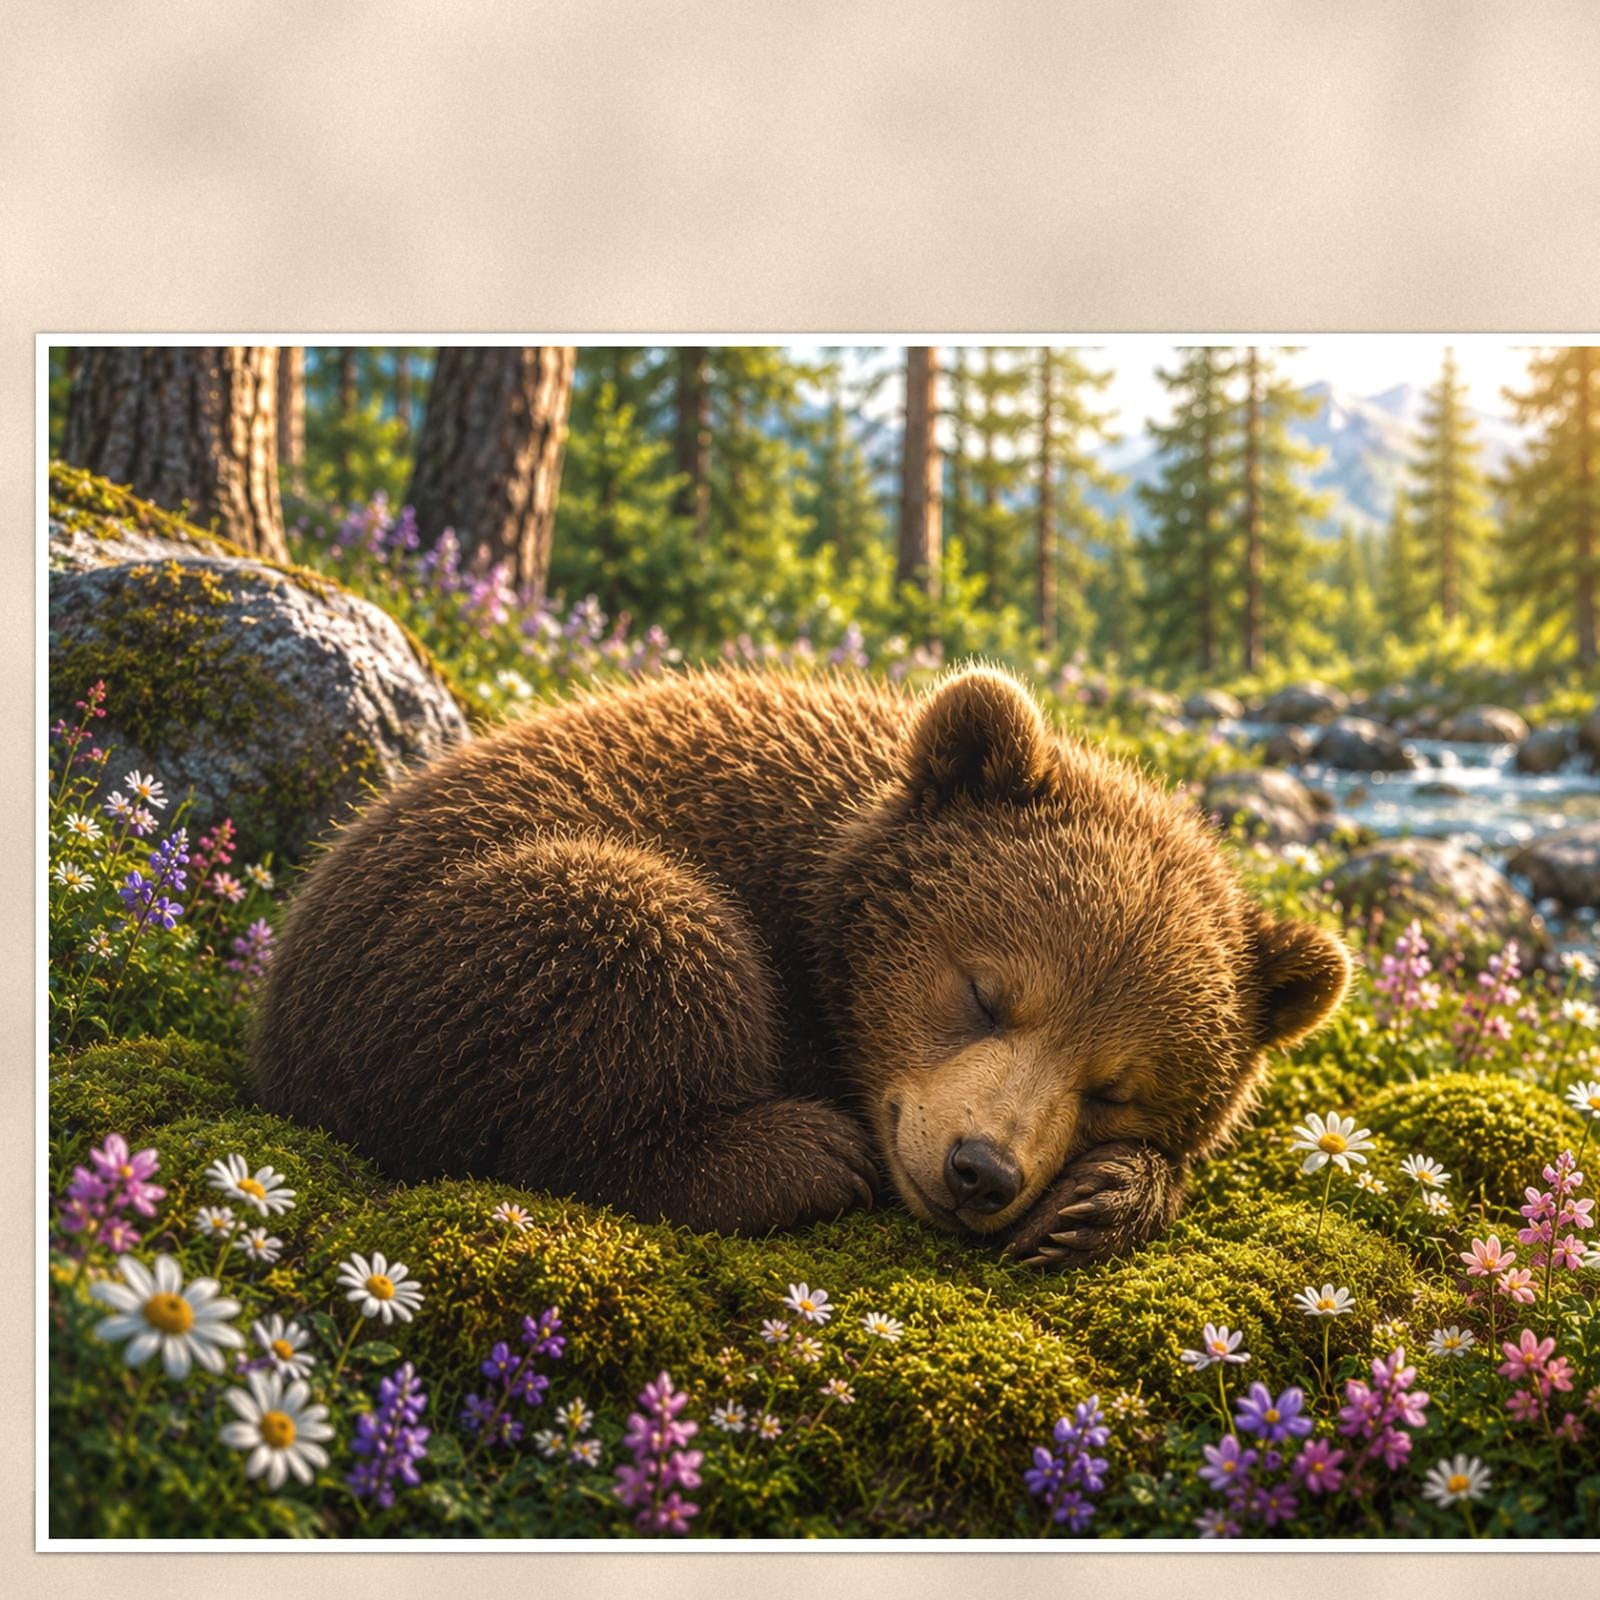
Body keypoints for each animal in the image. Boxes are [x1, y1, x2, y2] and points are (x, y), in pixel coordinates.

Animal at [253, 664, 1351, 1266]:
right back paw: (798, 1152)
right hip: (454, 939)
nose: (979, 1170)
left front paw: (1102, 1197)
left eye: (1117, 1087)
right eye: (984, 992)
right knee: (637, 934)